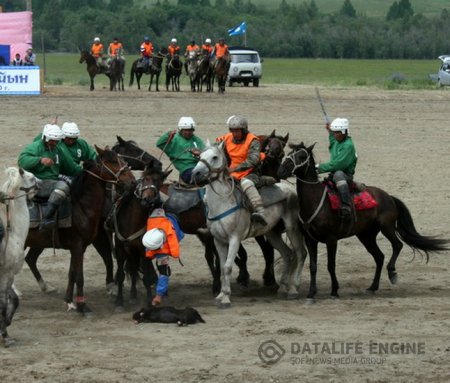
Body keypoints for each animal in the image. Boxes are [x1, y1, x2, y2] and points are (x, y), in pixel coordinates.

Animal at [24, 147, 135, 316]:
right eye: (112, 161)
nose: (133, 181)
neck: (81, 206)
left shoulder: (78, 248)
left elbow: (72, 274)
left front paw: (69, 301)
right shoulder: (78, 246)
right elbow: (80, 277)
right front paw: (83, 307)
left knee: (30, 259)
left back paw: (46, 287)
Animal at [192, 142, 308, 308]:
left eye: (214, 157)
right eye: (200, 156)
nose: (196, 173)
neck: (223, 202)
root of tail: (291, 189)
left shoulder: (234, 239)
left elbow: (227, 267)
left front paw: (226, 298)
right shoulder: (218, 241)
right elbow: (222, 267)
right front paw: (220, 295)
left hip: (292, 228)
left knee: (300, 253)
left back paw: (293, 289)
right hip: (272, 233)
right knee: (287, 254)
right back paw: (282, 288)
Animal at [278, 143, 450, 304]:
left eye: (301, 156)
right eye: (289, 153)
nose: (281, 171)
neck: (315, 201)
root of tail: (388, 196)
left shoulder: (331, 239)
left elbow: (330, 265)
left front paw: (334, 291)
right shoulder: (310, 240)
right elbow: (313, 267)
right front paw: (311, 294)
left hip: (386, 227)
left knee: (397, 245)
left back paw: (392, 273)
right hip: (366, 235)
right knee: (379, 256)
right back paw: (372, 287)